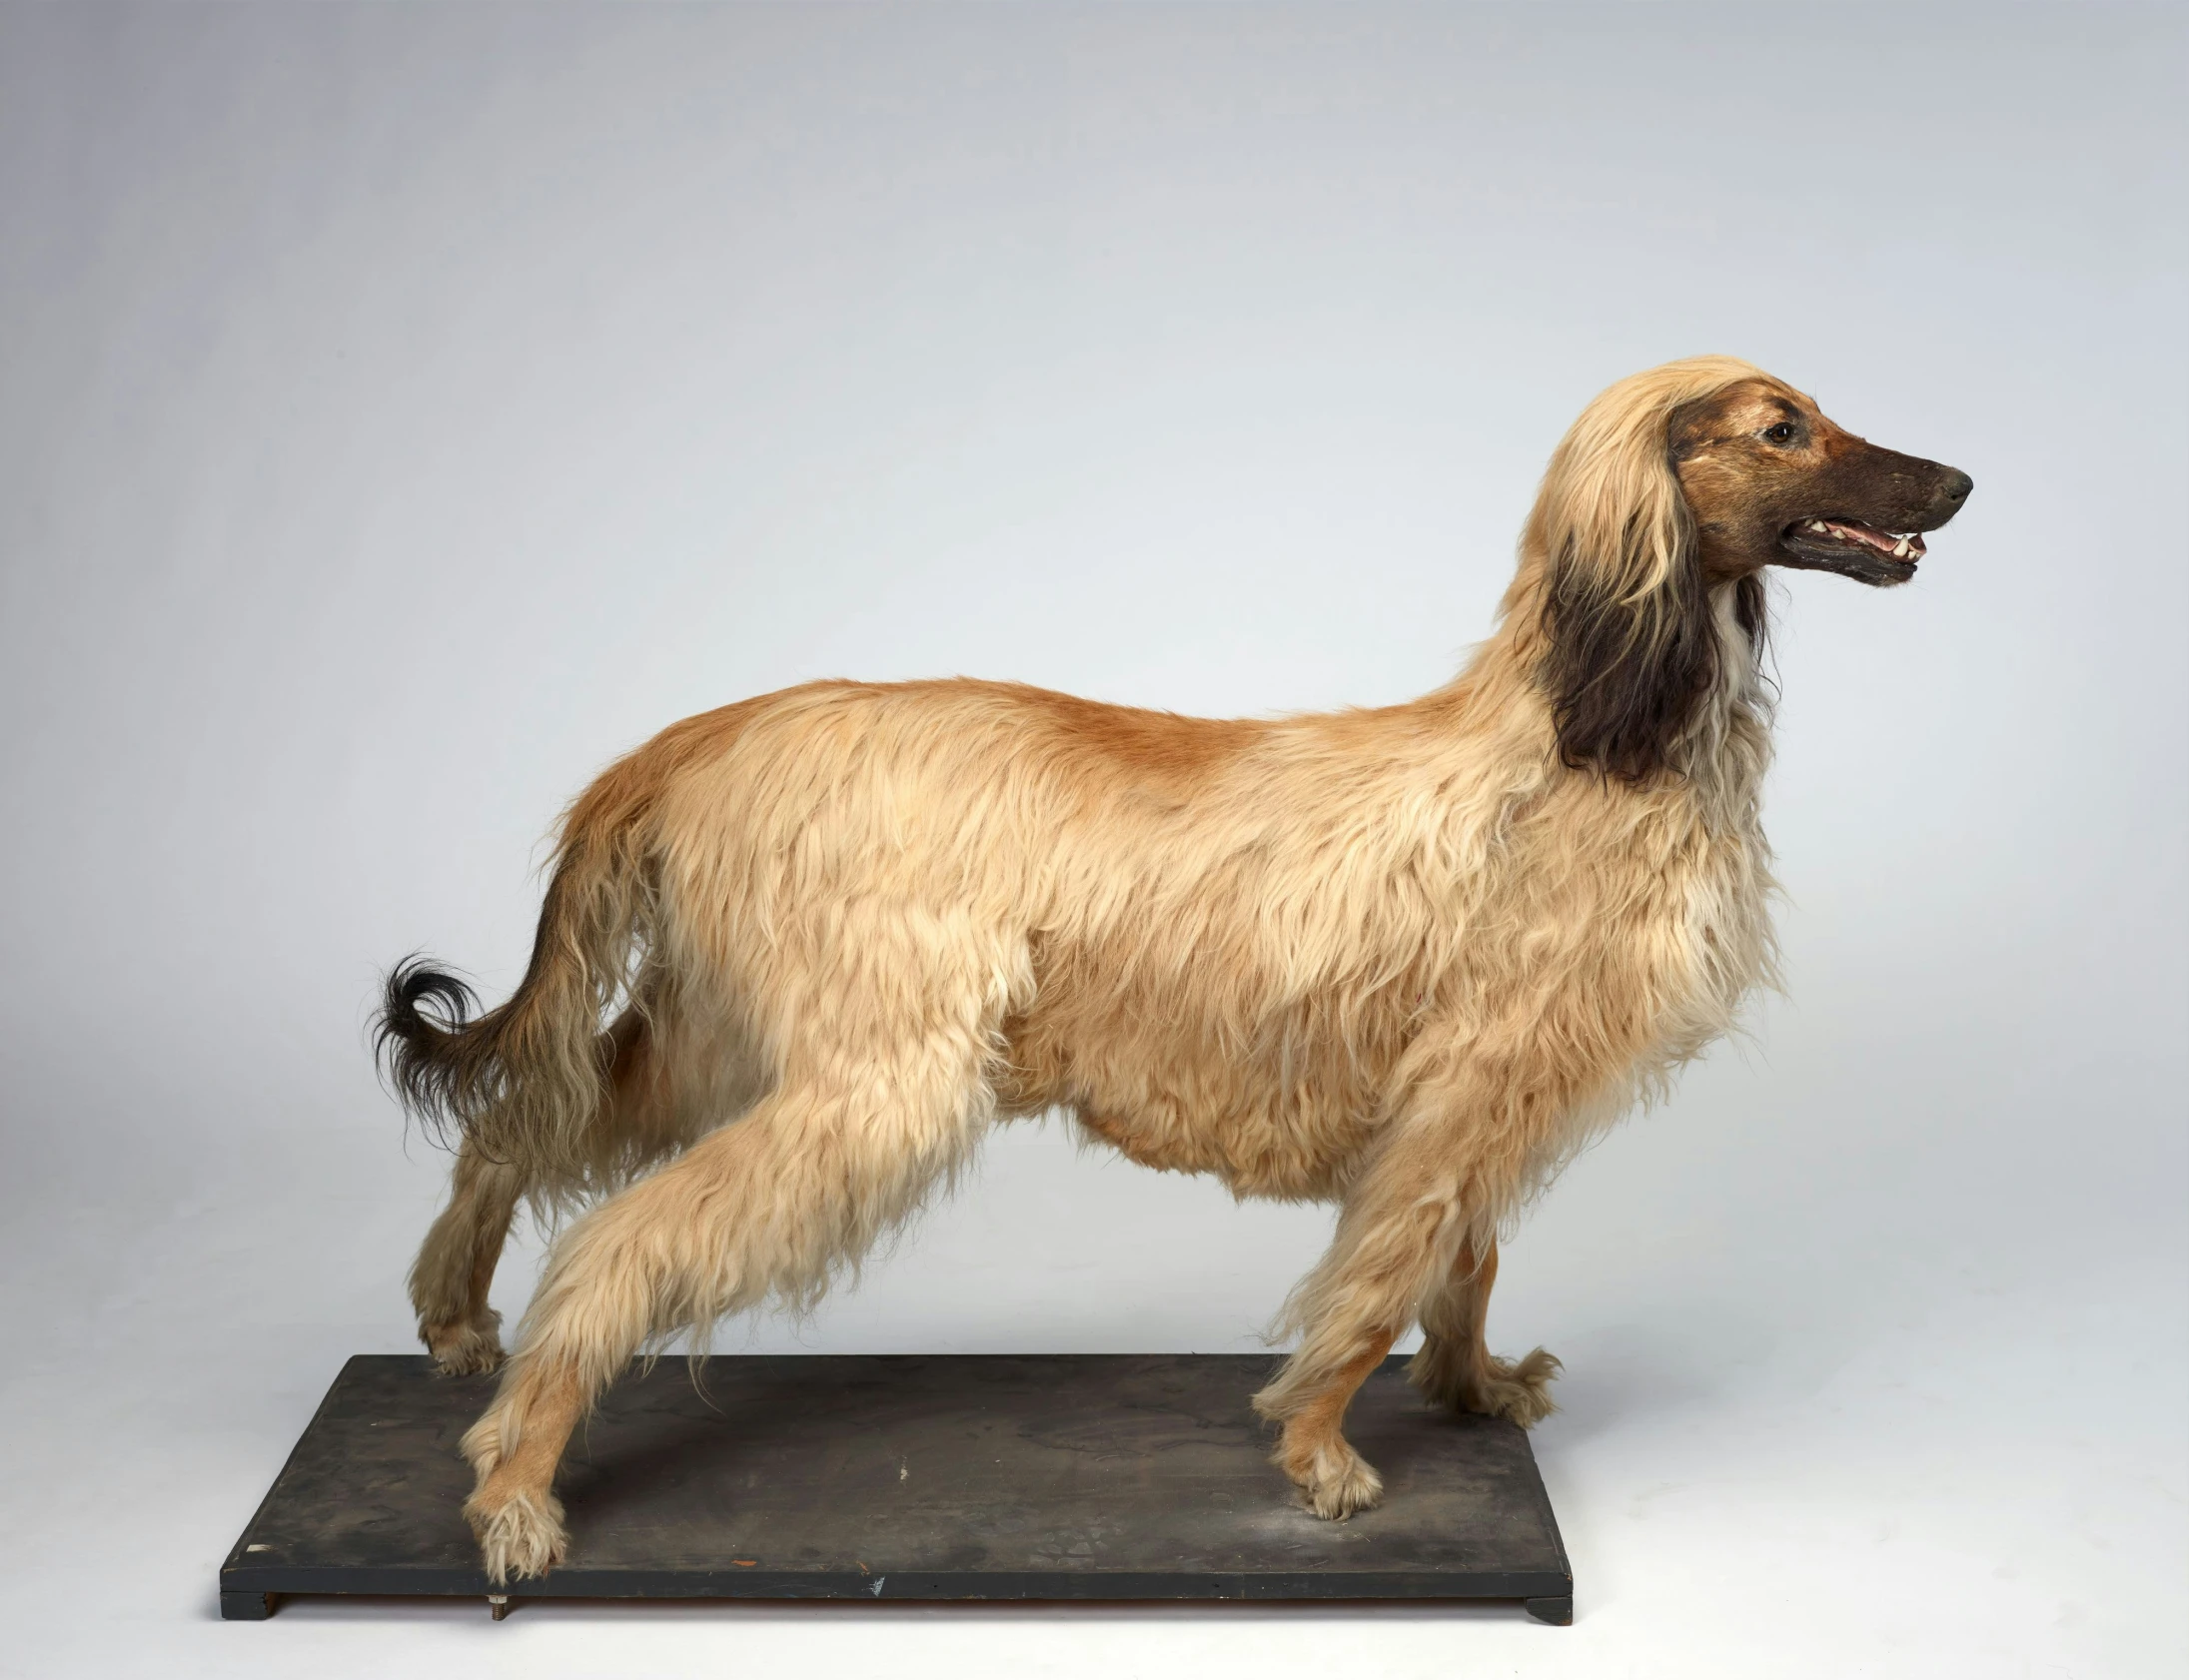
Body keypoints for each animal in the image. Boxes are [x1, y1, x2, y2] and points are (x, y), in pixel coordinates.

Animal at [372, 359, 1969, 1592]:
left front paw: (1470, 1393)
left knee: (515, 1125)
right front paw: (1320, 1450)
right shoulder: (1476, 1075)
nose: (1954, 481)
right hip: (874, 1075)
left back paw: (453, 1319)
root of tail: (695, 737)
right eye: (1781, 425)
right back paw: (514, 1481)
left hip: (725, 1030)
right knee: (615, 1244)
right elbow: (1382, 1276)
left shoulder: (1477, 1094)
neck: (1580, 736)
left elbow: (1461, 1260)